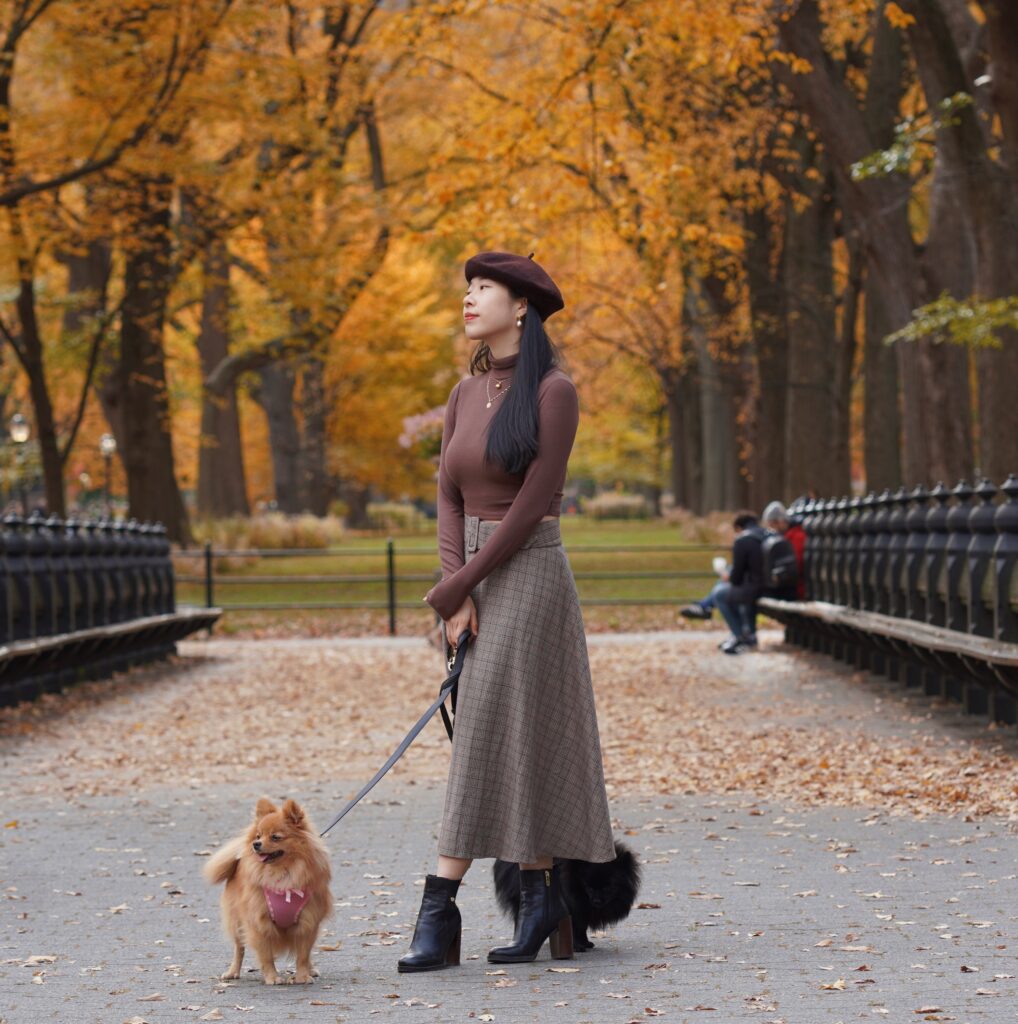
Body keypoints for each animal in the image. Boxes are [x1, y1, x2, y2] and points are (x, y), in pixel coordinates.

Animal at [203, 798, 333, 983]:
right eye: (258, 836)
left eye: (275, 837)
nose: (255, 844)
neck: (284, 874)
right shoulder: (259, 923)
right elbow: (266, 956)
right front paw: (272, 977)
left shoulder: (308, 922)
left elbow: (302, 955)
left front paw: (302, 976)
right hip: (237, 922)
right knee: (239, 949)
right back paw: (233, 971)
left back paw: (311, 969)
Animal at [487, 839, 639, 950]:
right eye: (588, 887)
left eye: (608, 887)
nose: (596, 901)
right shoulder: (574, 905)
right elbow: (575, 926)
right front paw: (577, 946)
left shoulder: (582, 908)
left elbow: (581, 926)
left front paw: (585, 942)